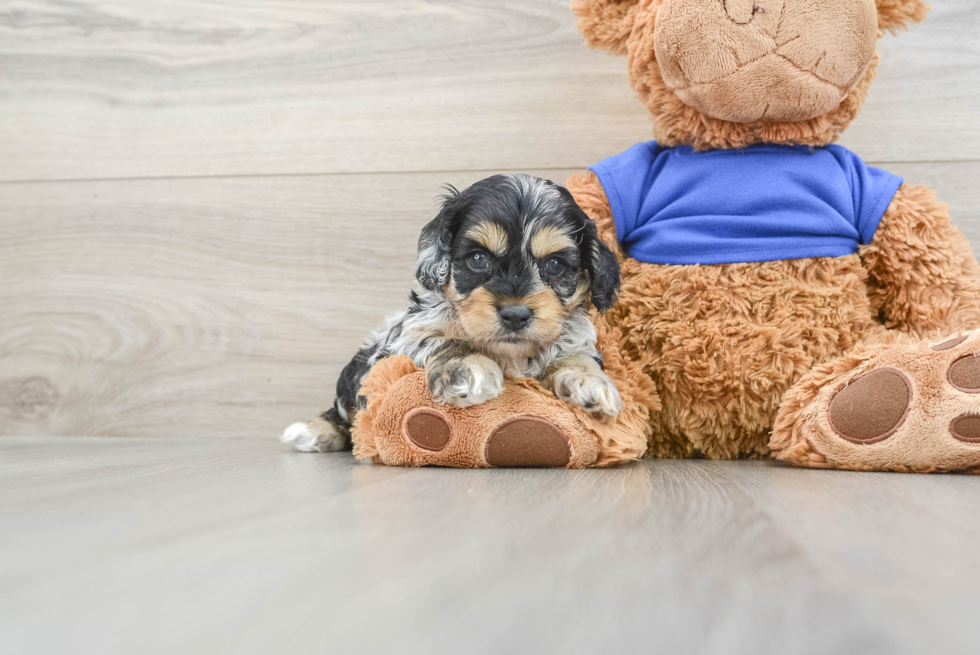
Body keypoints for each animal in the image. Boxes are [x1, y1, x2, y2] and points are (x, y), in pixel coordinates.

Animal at [282, 172, 620, 454]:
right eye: (478, 258)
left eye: (555, 264)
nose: (515, 314)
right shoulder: (403, 341)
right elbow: (445, 340)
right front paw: (468, 367)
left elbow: (576, 355)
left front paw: (590, 381)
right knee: (343, 412)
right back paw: (314, 432)